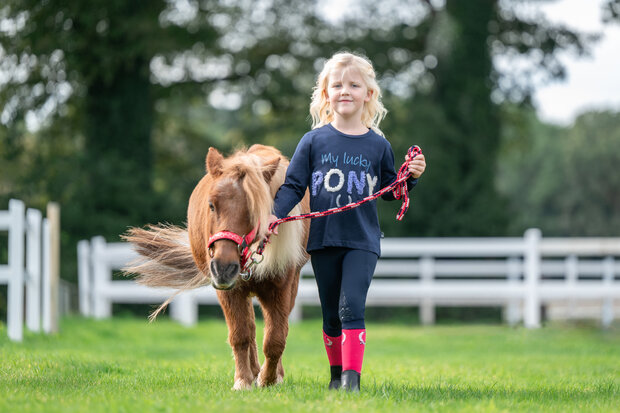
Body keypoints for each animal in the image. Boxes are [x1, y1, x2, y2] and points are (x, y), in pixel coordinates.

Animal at [123, 143, 310, 388]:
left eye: (254, 210)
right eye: (212, 205)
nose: (223, 268)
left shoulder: (281, 288)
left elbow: (275, 338)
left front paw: (269, 379)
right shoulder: (228, 291)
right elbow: (240, 335)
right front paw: (243, 380)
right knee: (249, 327)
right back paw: (252, 370)